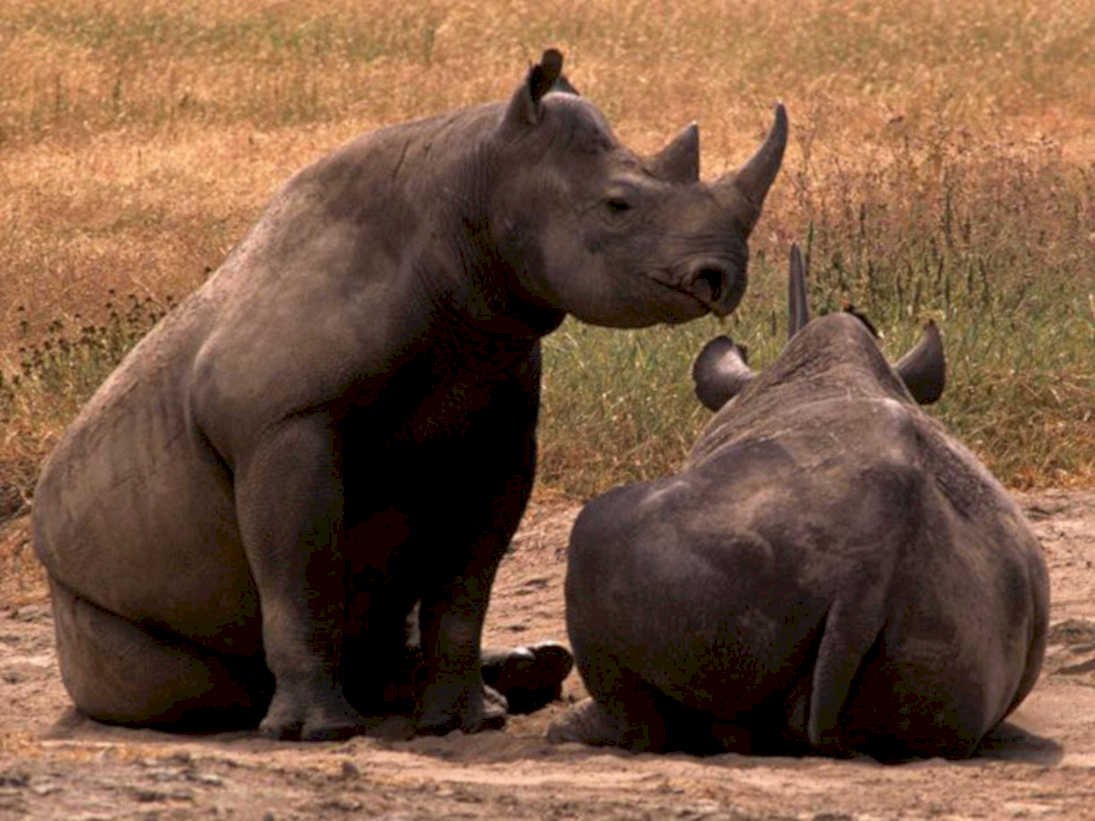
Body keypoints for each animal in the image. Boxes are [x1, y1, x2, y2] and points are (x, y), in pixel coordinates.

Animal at [31, 50, 788, 741]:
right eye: (617, 205)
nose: (723, 275)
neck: (470, 195)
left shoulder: (499, 432)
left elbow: (465, 583)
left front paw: (467, 722)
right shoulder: (285, 426)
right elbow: (301, 574)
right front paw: (319, 732)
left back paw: (519, 676)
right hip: (84, 581)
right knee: (188, 685)